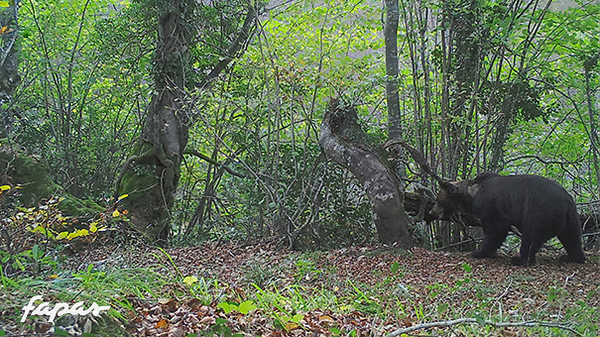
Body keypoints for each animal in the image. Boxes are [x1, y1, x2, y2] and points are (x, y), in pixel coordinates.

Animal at [432, 173, 584, 266]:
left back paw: (520, 259)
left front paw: (479, 252)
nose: (431, 211)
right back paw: (572, 257)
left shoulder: (491, 204)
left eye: (439, 201)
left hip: (539, 210)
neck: (472, 195)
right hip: (571, 217)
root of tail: (566, 199)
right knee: (572, 237)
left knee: (531, 235)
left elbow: (497, 227)